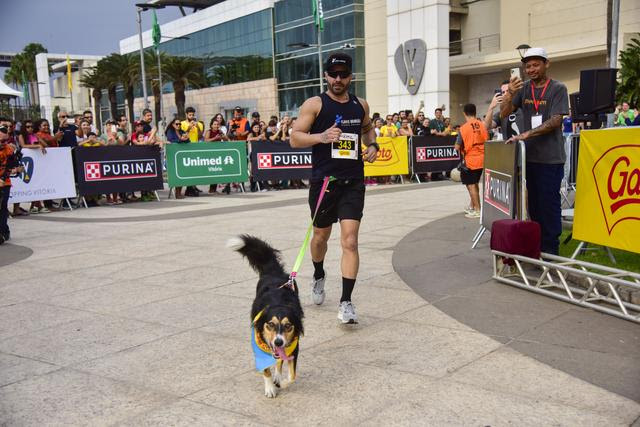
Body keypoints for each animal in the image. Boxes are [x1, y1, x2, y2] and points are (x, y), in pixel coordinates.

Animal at [226, 234, 304, 398]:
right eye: (270, 324)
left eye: (288, 326)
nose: (279, 342)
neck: (278, 302)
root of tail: (274, 271)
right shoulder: (260, 346)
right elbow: (266, 370)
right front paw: (270, 388)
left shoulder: (294, 346)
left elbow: (292, 376)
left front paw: (281, 382)